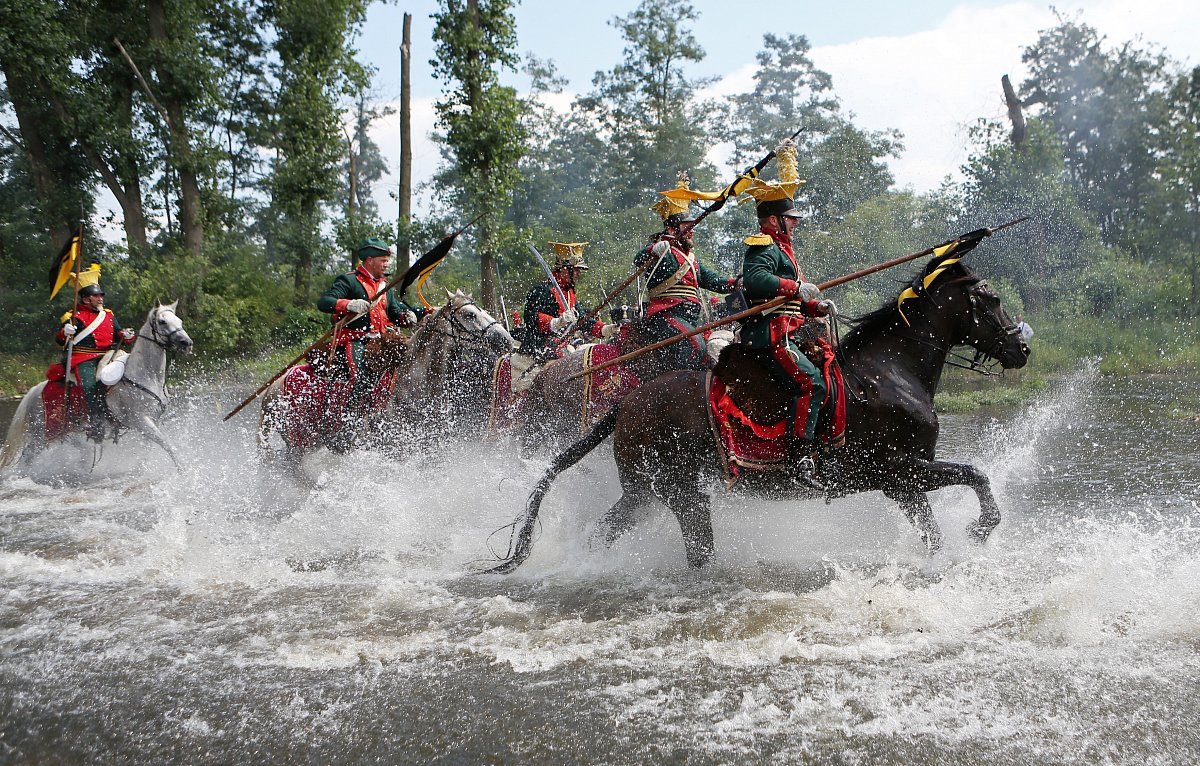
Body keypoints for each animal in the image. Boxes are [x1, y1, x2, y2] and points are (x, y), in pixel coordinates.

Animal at [2, 302, 193, 470]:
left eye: (179, 320)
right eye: (162, 321)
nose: (187, 343)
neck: (145, 375)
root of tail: (34, 391)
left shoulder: (154, 419)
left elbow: (150, 448)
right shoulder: (141, 421)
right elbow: (168, 444)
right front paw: (183, 470)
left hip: (68, 433)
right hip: (41, 435)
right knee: (26, 457)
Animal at [487, 254, 1032, 573]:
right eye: (991, 299)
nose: (1021, 348)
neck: (890, 371)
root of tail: (626, 403)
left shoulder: (902, 483)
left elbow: (934, 534)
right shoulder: (900, 468)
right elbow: (976, 474)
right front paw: (981, 528)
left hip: (648, 493)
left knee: (612, 532)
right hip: (675, 492)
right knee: (693, 548)